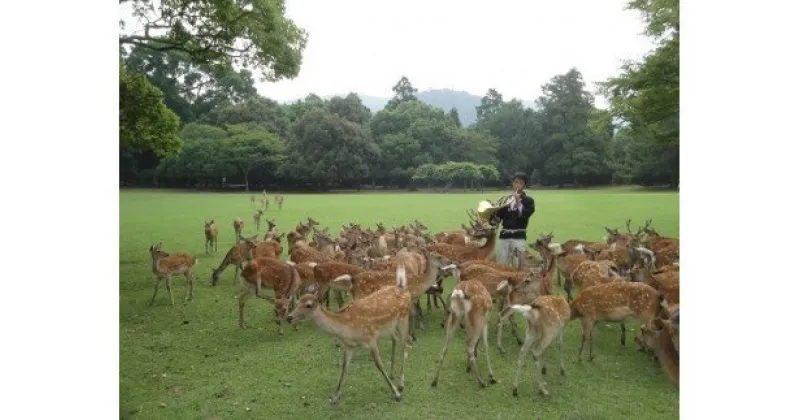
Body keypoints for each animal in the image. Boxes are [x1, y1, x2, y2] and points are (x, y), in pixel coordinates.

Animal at [286, 262, 412, 404]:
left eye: (308, 305)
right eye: (297, 302)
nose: (289, 317)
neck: (347, 328)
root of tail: (402, 286)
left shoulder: (370, 339)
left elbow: (379, 365)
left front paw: (396, 394)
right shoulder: (349, 345)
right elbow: (344, 367)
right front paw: (335, 397)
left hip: (403, 319)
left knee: (404, 346)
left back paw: (401, 384)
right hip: (388, 328)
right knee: (395, 340)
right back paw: (392, 374)